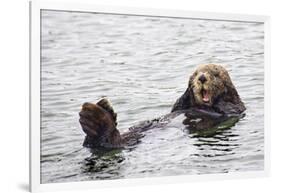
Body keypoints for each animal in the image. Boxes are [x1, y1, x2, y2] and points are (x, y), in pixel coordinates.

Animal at [77, 64, 244, 149]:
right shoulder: (179, 106)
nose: (202, 77)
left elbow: (225, 107)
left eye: (215, 74)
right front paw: (188, 89)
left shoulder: (235, 106)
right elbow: (178, 105)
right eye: (196, 73)